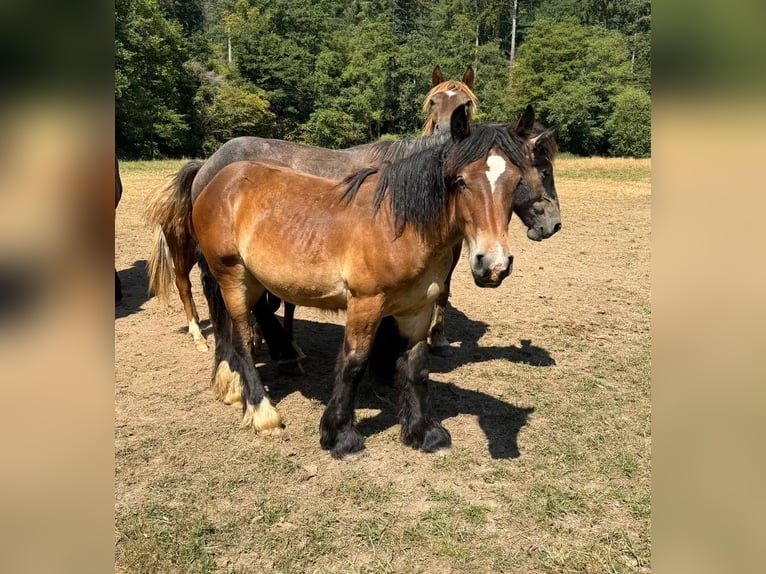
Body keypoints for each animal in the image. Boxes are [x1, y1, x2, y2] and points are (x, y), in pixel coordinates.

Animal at [145, 67, 478, 354]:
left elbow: (442, 291)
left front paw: (438, 339)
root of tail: (207, 164)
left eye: (466, 104)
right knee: (195, 284)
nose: (449, 135)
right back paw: (208, 336)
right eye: (433, 102)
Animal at [193, 104, 559, 458]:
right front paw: (341, 437)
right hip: (233, 278)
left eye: (516, 181)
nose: (493, 265)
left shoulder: (417, 309)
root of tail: (218, 179)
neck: (399, 226)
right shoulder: (365, 304)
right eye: (460, 181)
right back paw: (262, 412)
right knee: (241, 340)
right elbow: (353, 364)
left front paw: (424, 434)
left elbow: (416, 366)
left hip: (255, 282)